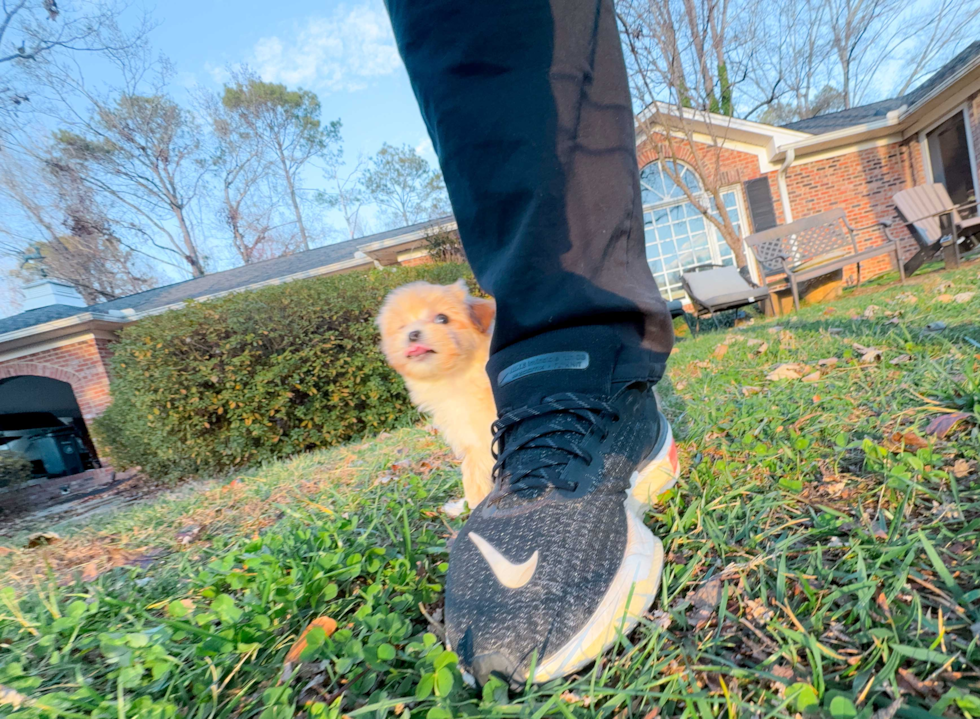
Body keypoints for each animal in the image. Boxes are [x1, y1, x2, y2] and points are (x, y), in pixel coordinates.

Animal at [376, 278, 498, 510]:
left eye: (443, 318)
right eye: (402, 326)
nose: (413, 334)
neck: (457, 376)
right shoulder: (473, 438)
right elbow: (474, 472)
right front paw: (473, 504)